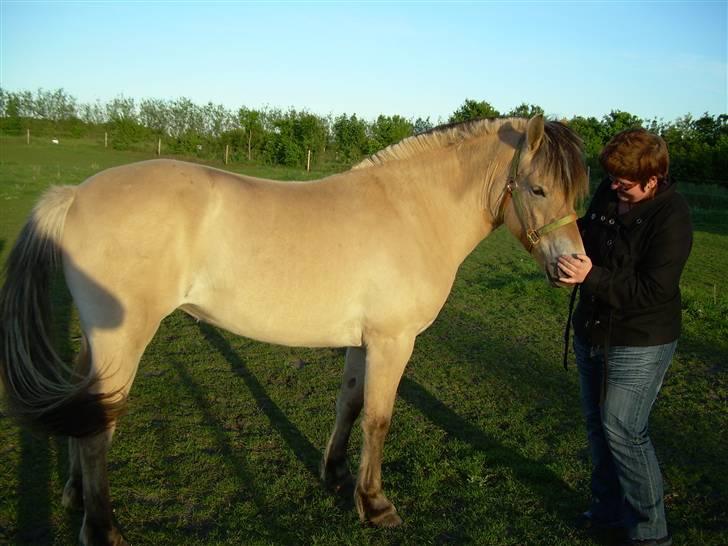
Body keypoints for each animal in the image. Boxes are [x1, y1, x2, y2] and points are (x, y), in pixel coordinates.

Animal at [0, 116, 584, 544]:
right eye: (538, 188)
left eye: (575, 193)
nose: (577, 267)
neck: (412, 211)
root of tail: (75, 195)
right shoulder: (393, 342)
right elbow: (379, 419)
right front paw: (376, 505)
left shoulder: (362, 341)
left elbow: (350, 405)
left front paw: (337, 476)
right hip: (123, 340)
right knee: (99, 429)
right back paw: (102, 529)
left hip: (99, 340)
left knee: (83, 411)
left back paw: (76, 495)